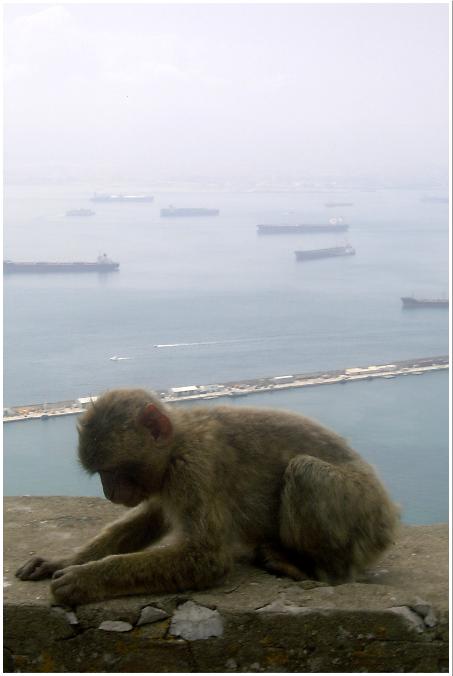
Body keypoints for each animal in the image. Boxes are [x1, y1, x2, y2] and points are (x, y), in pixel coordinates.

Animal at [16, 388, 399, 606]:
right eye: (101, 473)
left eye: (114, 470)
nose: (109, 492)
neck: (177, 443)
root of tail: (390, 517)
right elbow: (149, 519)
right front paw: (65, 561)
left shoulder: (196, 466)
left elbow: (207, 557)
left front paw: (86, 579)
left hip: (363, 514)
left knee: (305, 471)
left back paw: (315, 570)